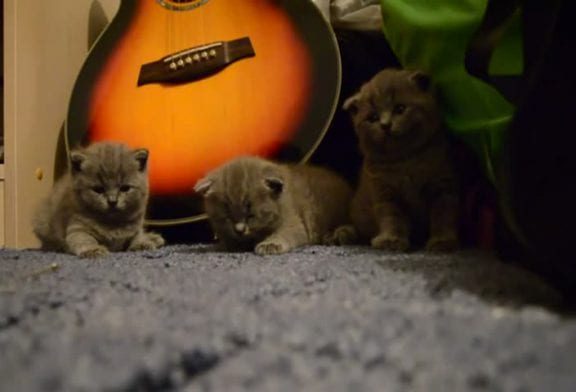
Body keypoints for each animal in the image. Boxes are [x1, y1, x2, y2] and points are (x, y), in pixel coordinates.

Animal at [32, 141, 164, 258]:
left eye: (125, 188)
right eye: (98, 189)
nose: (112, 201)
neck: (113, 224)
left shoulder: (136, 226)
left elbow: (138, 235)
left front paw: (142, 243)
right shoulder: (76, 228)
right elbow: (84, 239)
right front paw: (92, 250)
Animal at [196, 155, 354, 254]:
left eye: (250, 215)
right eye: (227, 216)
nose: (239, 230)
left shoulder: (294, 220)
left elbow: (288, 231)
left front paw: (270, 244)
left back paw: (338, 234)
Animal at [332, 68, 460, 253]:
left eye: (400, 108)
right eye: (373, 118)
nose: (385, 125)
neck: (404, 161)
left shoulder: (442, 186)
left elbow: (443, 215)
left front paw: (443, 242)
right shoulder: (384, 192)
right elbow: (392, 218)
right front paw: (391, 240)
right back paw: (344, 234)